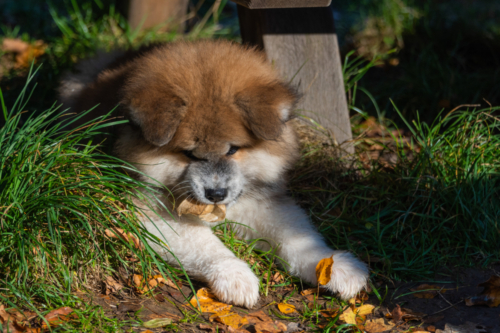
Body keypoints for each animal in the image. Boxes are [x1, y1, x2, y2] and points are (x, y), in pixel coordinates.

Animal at [60, 39, 370, 306]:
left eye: (233, 149)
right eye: (189, 154)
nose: (216, 193)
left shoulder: (260, 202)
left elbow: (297, 239)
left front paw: (333, 266)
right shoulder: (149, 211)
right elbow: (206, 244)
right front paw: (234, 275)